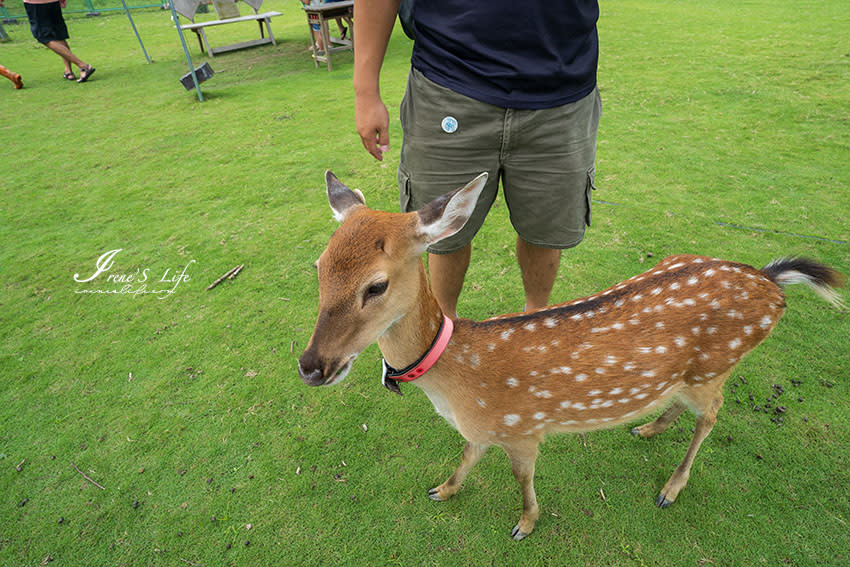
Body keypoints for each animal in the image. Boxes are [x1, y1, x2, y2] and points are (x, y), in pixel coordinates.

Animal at [298, 172, 840, 540]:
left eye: (376, 285)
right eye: (319, 266)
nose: (311, 366)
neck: (457, 380)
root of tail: (772, 286)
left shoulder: (522, 427)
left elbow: (521, 477)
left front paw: (525, 523)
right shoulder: (484, 427)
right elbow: (468, 453)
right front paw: (443, 490)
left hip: (716, 364)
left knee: (712, 413)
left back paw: (670, 488)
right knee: (689, 406)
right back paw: (648, 426)